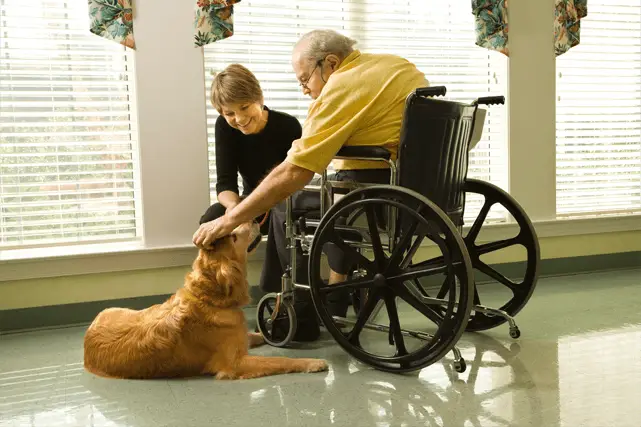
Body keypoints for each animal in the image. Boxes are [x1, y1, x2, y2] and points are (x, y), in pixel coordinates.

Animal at [83, 222, 328, 380]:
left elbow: (255, 336)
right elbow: (281, 360)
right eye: (234, 236)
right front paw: (312, 362)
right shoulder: (235, 364)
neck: (210, 299)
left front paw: (273, 333)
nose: (255, 220)